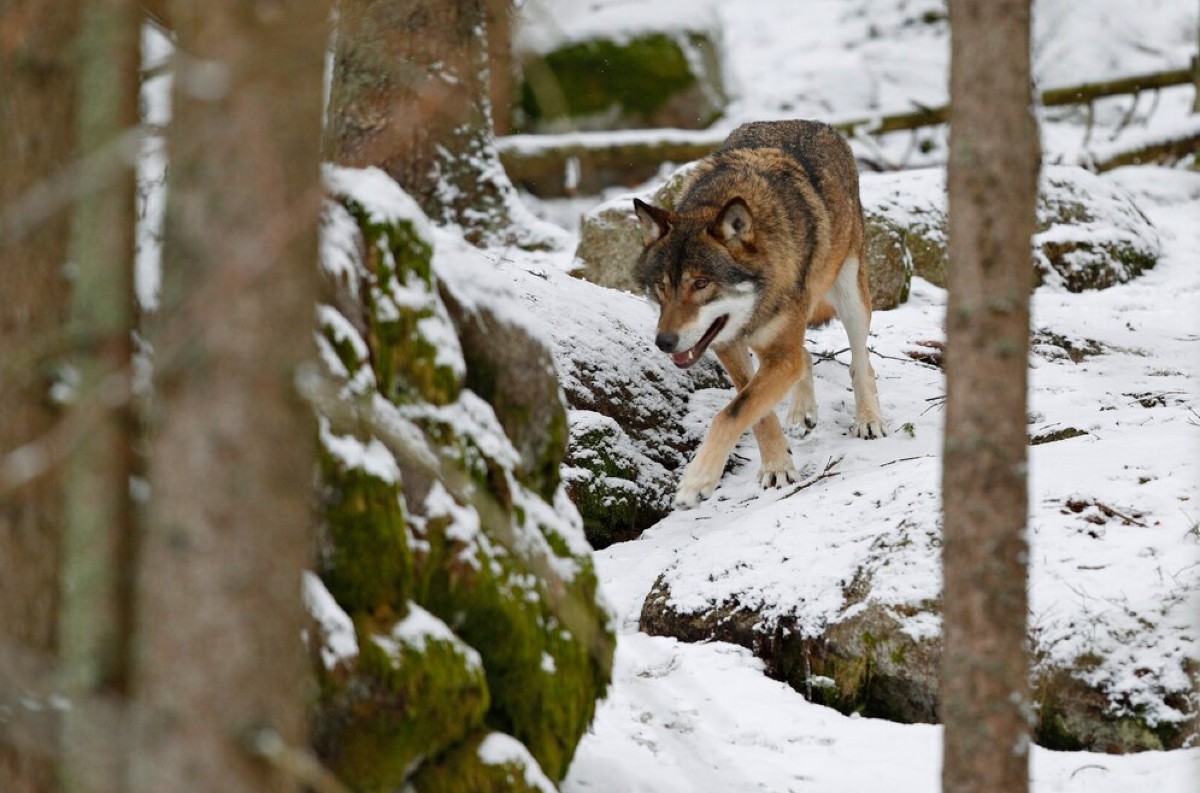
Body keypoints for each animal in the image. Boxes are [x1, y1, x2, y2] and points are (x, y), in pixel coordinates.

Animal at [633, 120, 888, 511]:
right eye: (662, 286)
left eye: (701, 283)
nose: (664, 342)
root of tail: (812, 123)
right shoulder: (728, 346)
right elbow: (753, 410)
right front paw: (777, 466)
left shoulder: (778, 353)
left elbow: (730, 415)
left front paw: (696, 482)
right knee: (805, 354)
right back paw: (801, 413)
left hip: (850, 295)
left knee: (860, 361)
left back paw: (869, 419)